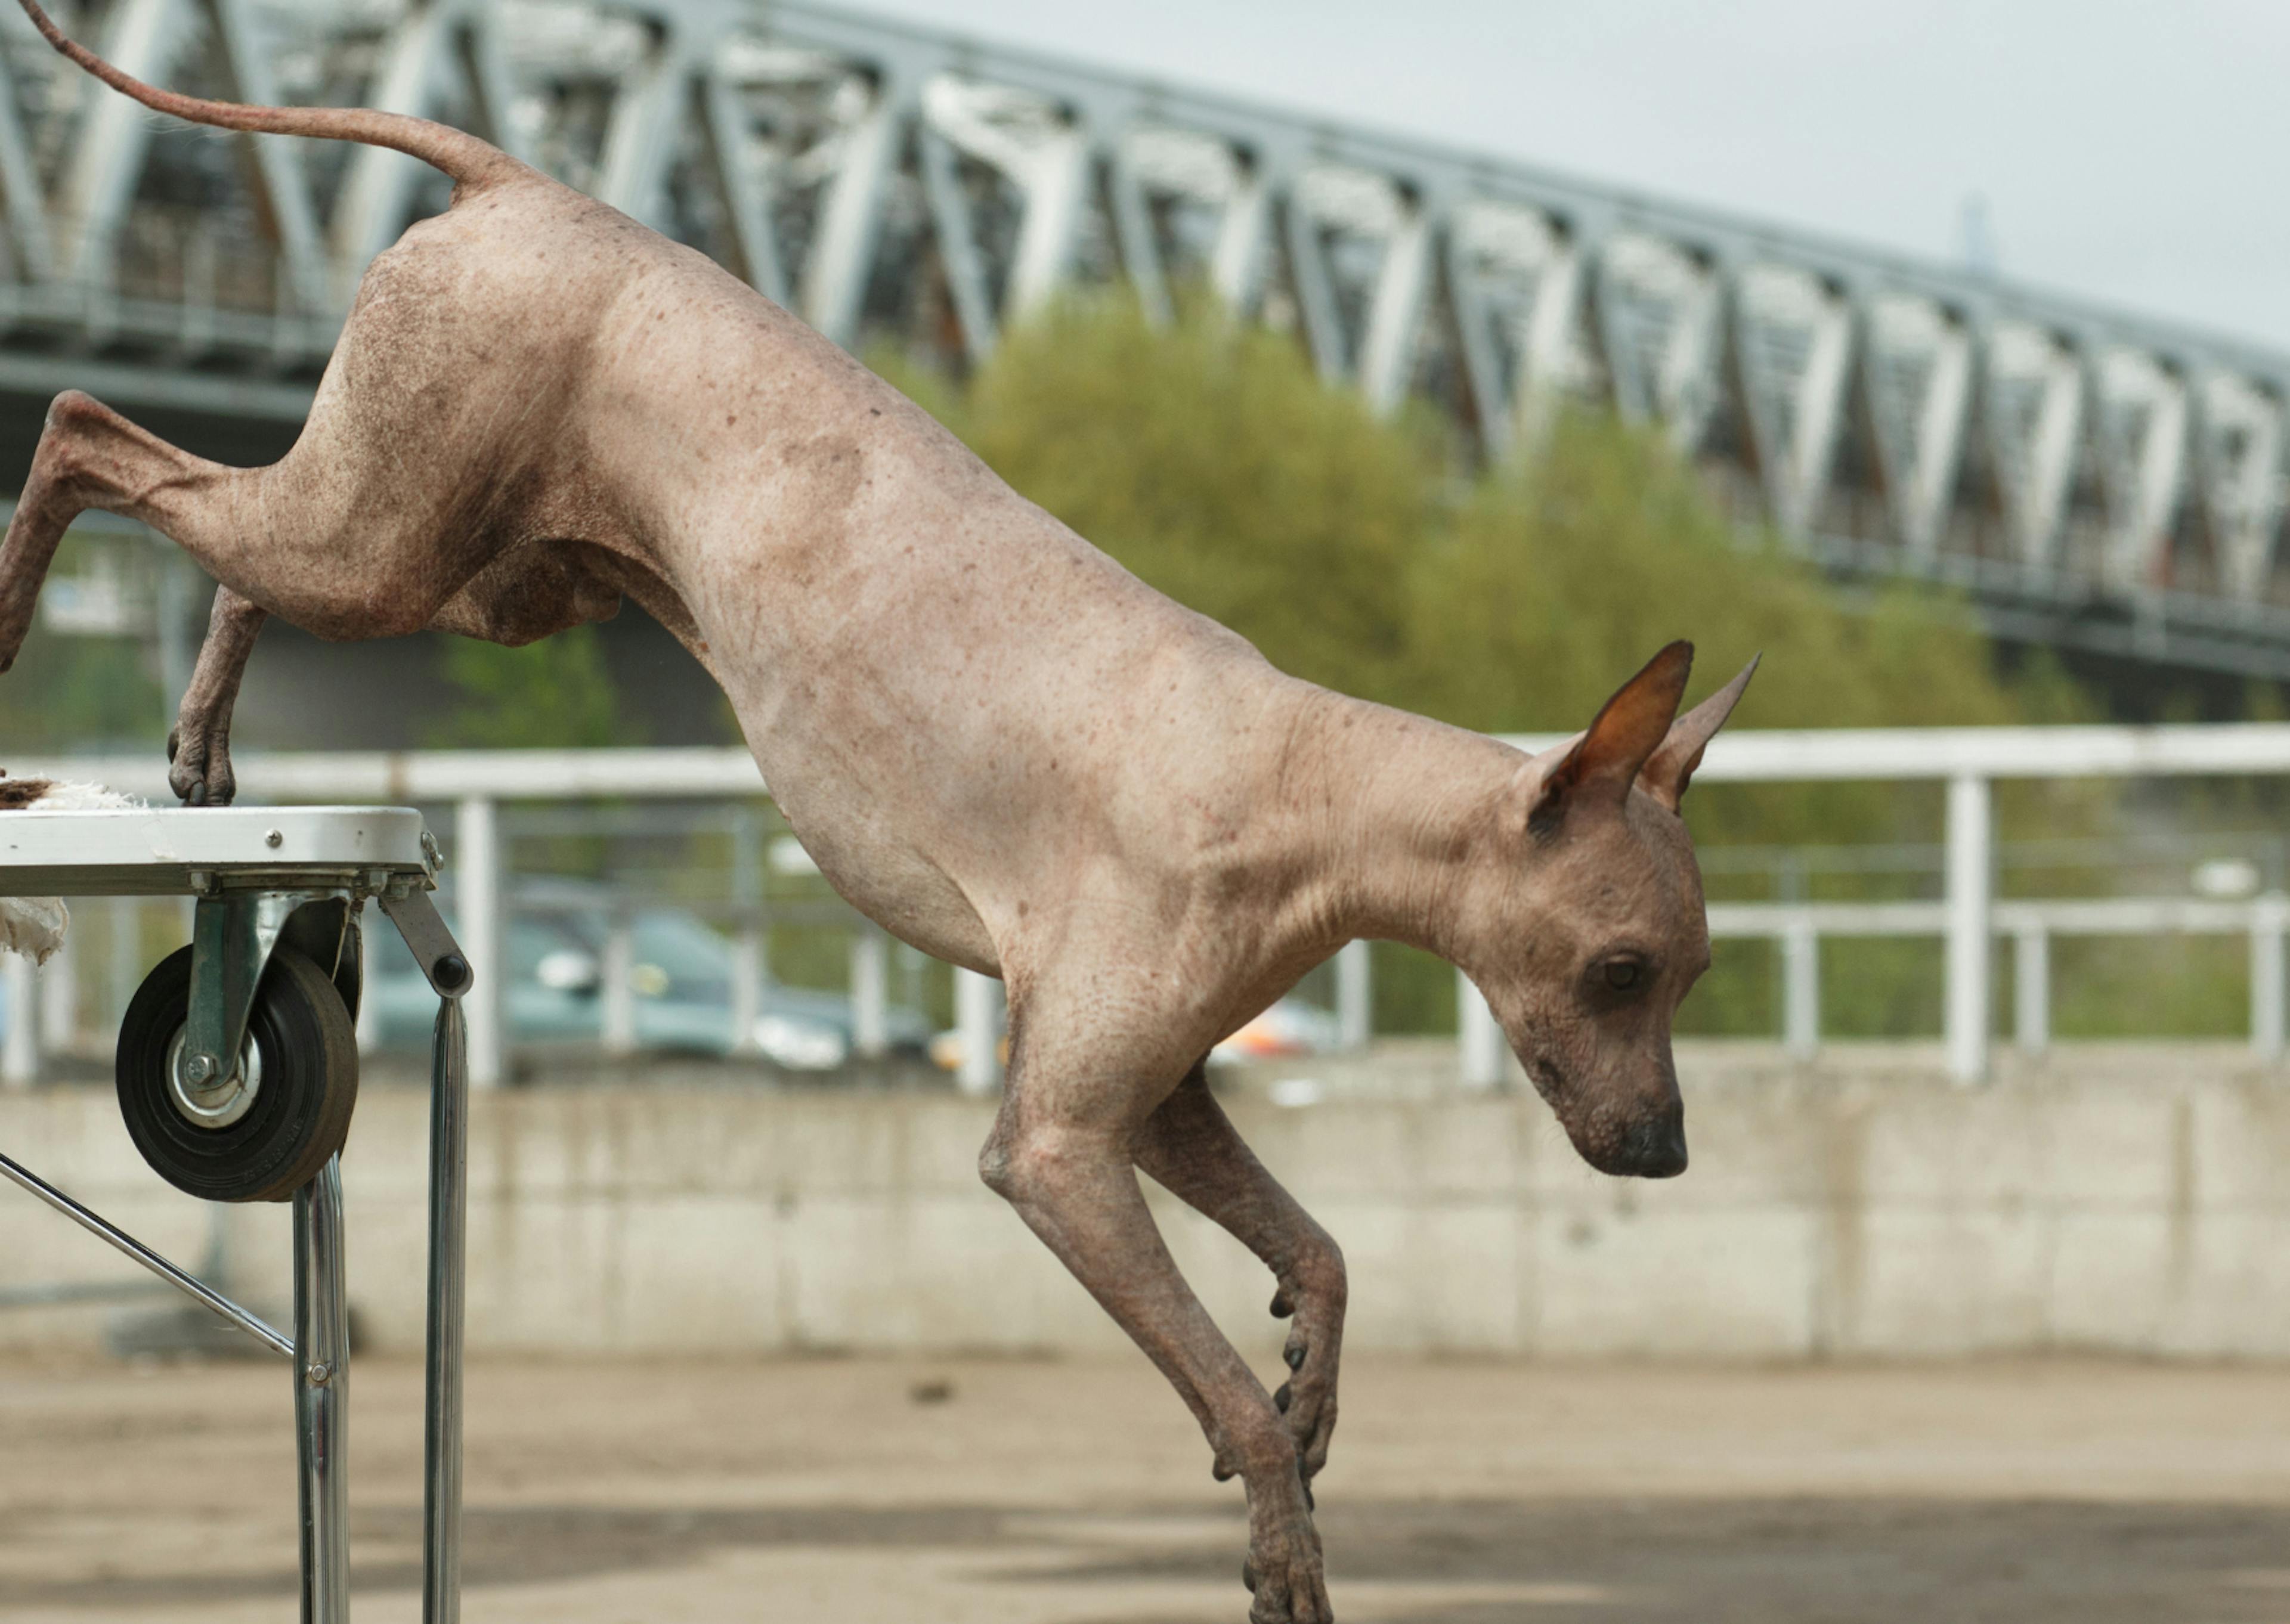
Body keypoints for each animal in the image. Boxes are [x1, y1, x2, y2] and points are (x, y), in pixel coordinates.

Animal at [4, 6, 1749, 1612]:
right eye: (1618, 971)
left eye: (1690, 977)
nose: (1667, 1153)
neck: (1298, 777)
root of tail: (530, 185)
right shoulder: (1054, 1149)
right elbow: (1228, 1402)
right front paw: (1284, 1551)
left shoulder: (1160, 1105)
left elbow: (1318, 1256)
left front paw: (1313, 1388)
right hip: (382, 539)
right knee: (90, 425)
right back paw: (23, 627)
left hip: (462, 572)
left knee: (222, 540)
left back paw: (201, 736)